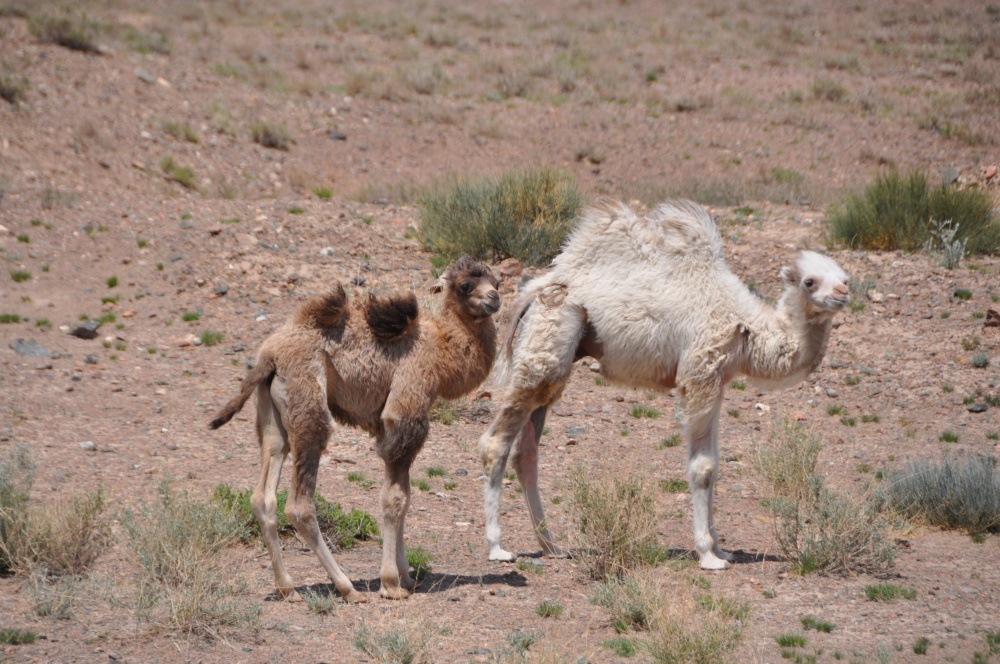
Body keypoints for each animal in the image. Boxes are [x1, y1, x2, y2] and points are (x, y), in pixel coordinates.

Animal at [480, 200, 848, 568]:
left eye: (845, 277)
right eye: (810, 281)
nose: (843, 293)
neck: (747, 328)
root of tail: (536, 290)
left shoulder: (718, 379)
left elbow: (714, 463)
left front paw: (722, 549)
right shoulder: (700, 374)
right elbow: (702, 468)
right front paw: (708, 555)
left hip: (553, 364)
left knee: (526, 452)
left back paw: (552, 546)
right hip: (550, 341)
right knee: (496, 443)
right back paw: (498, 547)